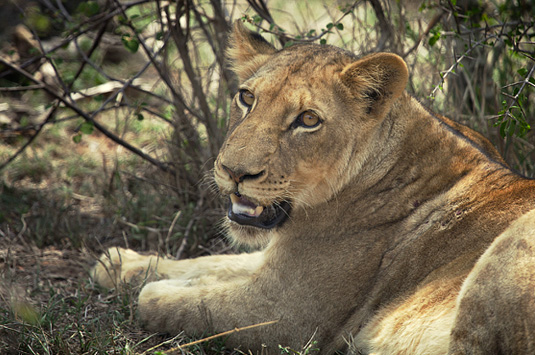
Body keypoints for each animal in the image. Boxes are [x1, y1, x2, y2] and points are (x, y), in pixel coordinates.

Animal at [92, 21, 535, 354]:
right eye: (246, 97)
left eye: (307, 120)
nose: (234, 171)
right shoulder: (277, 260)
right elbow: (207, 262)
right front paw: (118, 262)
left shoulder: (285, 314)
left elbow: (182, 302)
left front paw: (161, 287)